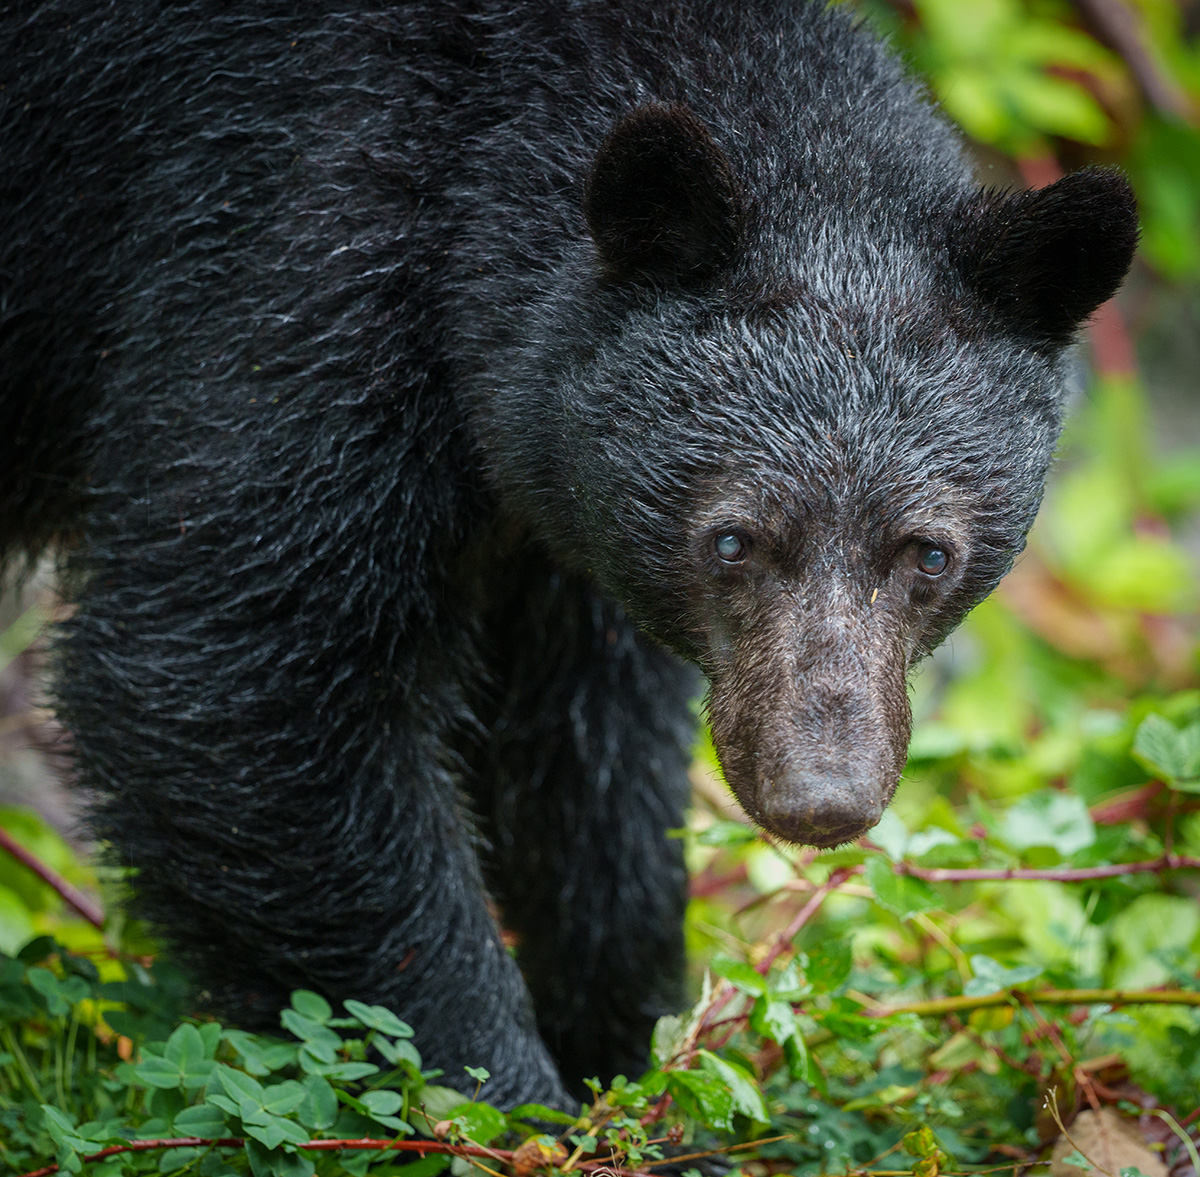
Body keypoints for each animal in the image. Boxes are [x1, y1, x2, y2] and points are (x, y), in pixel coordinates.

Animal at [0, 0, 1137, 1108]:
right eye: (732, 537)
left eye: (927, 553)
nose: (822, 796)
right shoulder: (296, 256)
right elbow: (231, 666)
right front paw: (507, 1096)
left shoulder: (561, 521)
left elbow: (582, 754)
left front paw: (632, 1054)